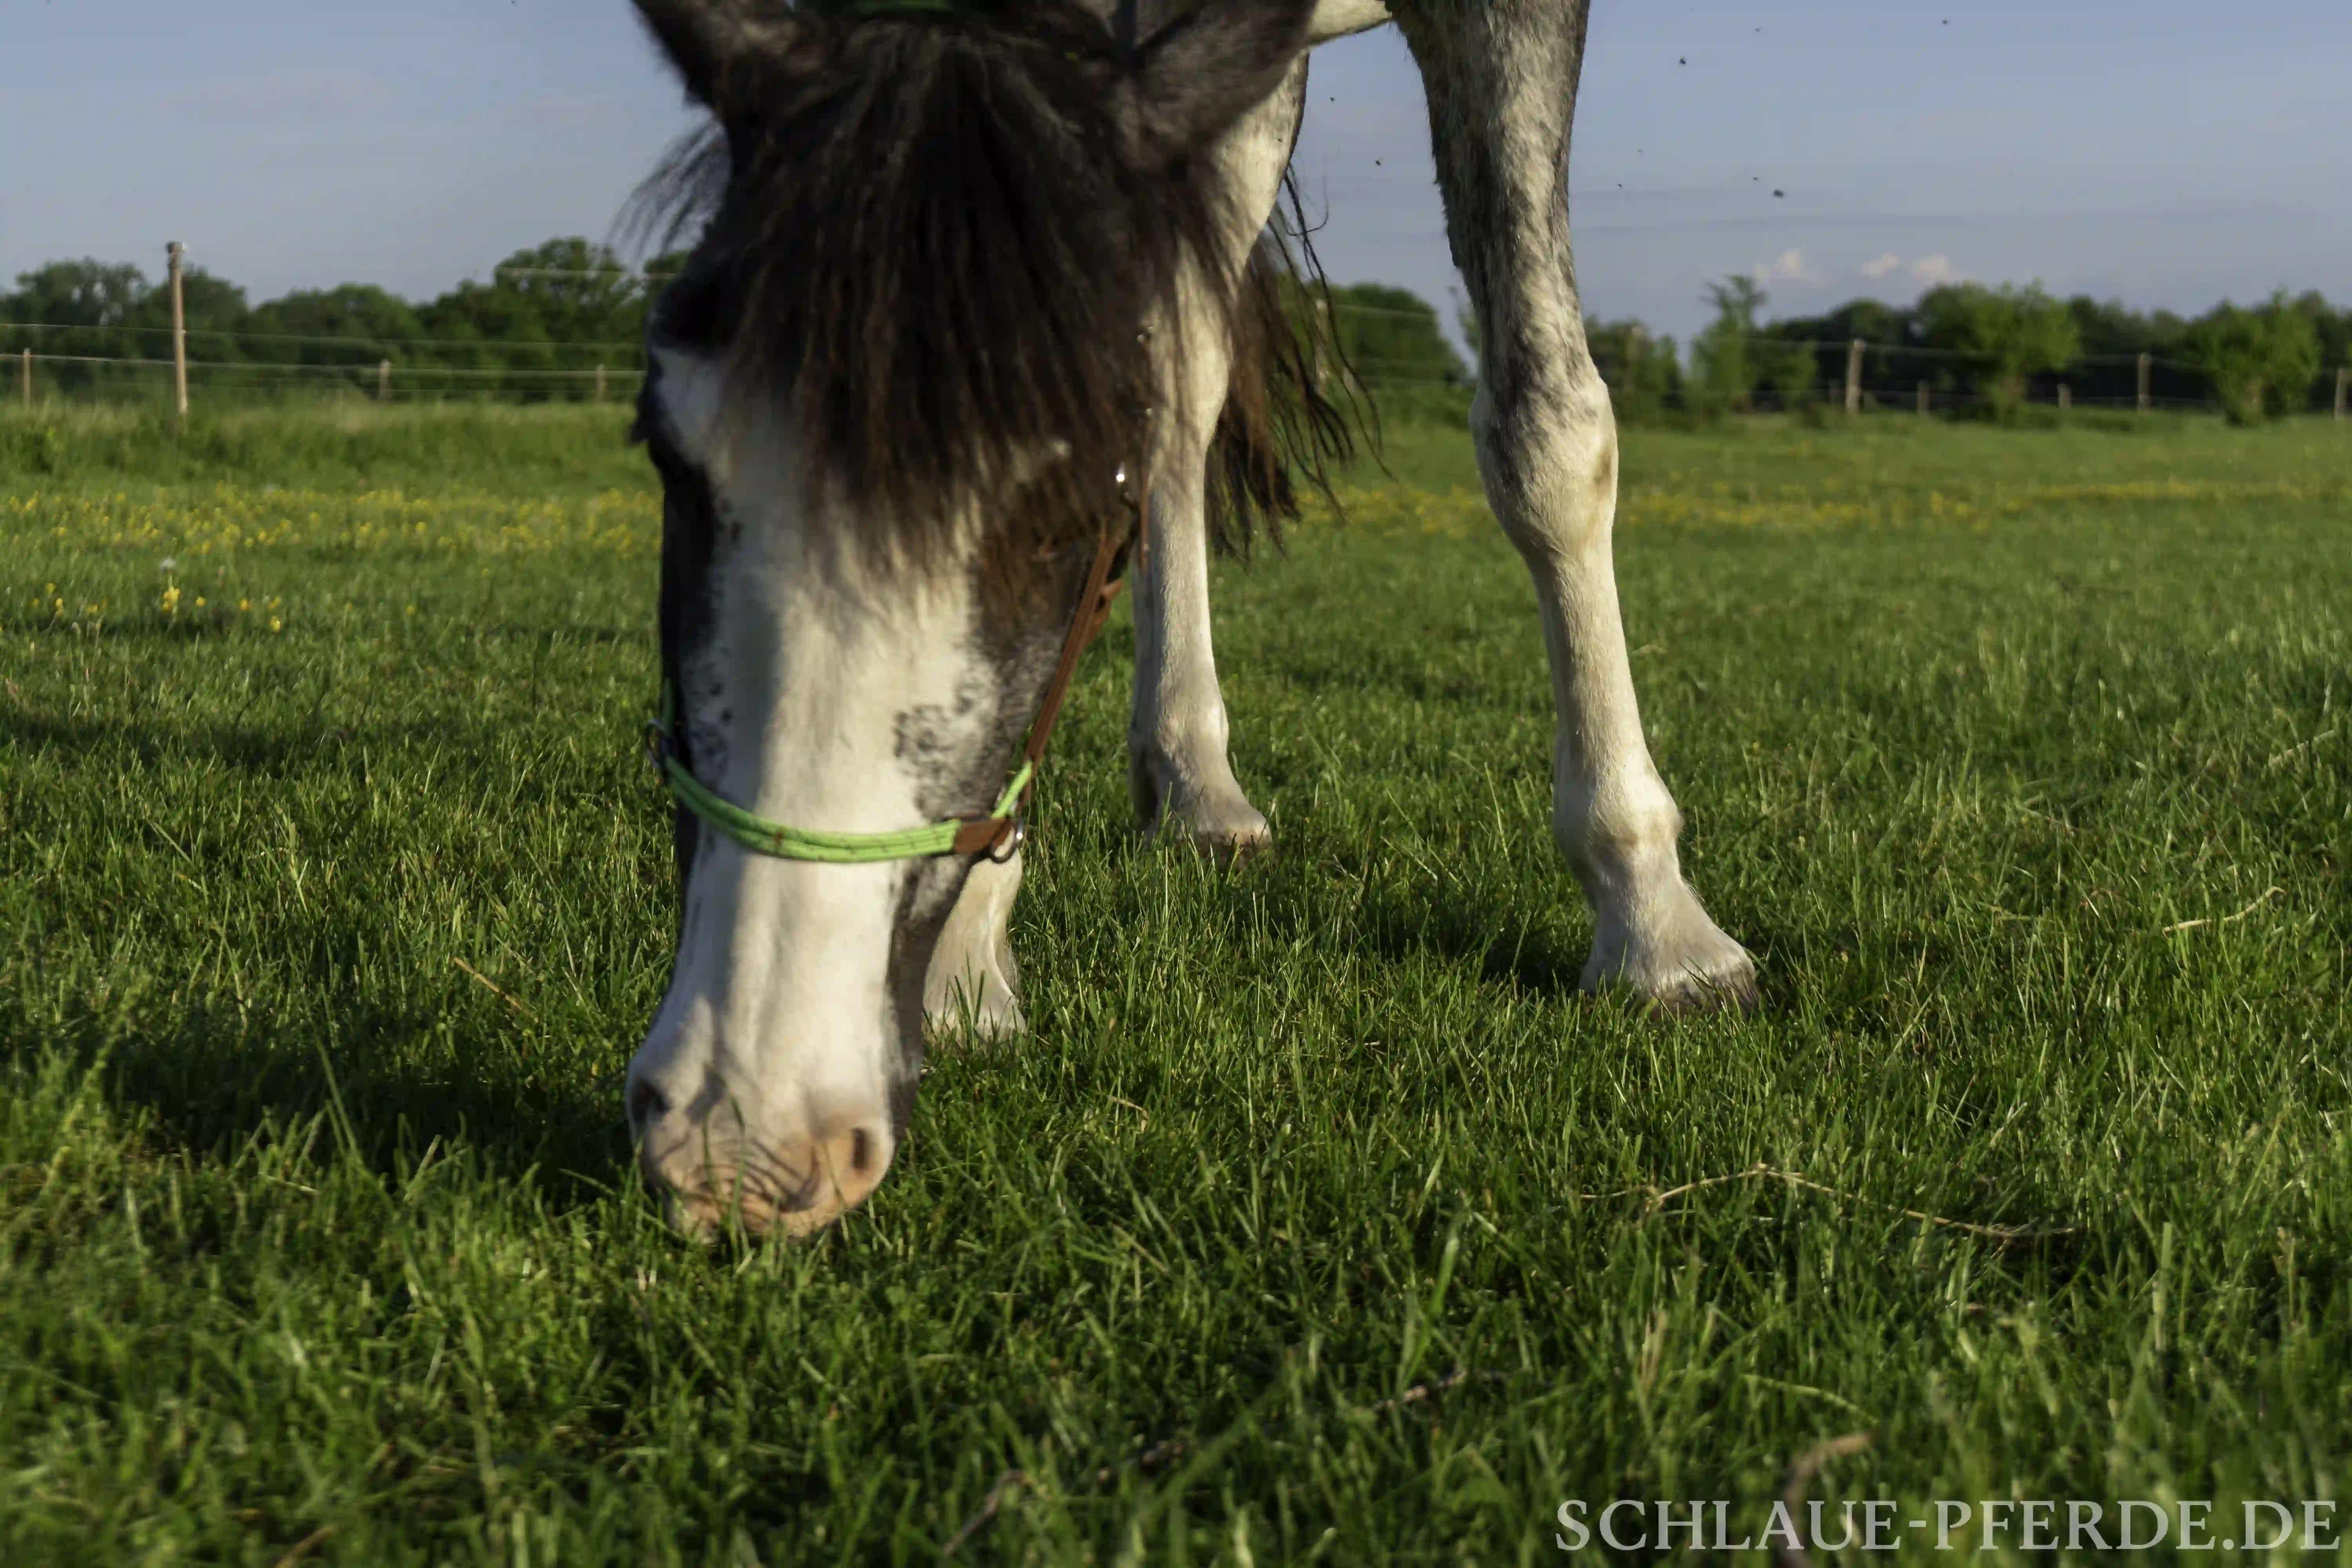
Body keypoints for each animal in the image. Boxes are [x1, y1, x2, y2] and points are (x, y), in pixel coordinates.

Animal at [621, 0, 1756, 1237]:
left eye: (1068, 511)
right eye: (664, 451)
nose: (745, 1139)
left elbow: (1548, 435)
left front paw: (1656, 923)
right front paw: (972, 957)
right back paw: (1192, 778)